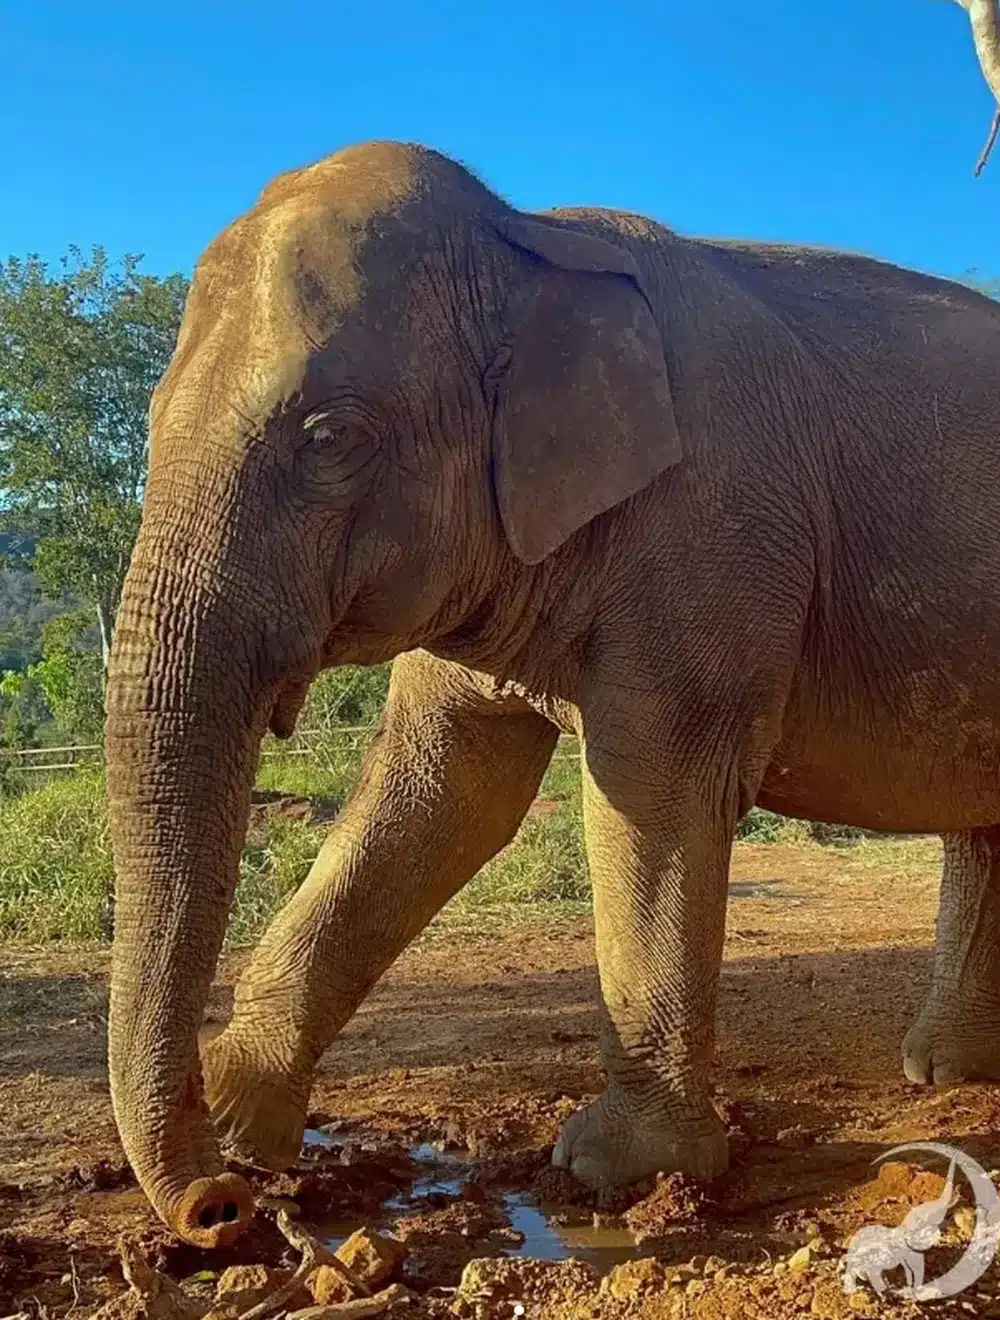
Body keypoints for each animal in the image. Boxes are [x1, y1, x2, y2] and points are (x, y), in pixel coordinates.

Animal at [103, 141, 1000, 1246]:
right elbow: (439, 794)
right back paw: (940, 1072)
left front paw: (615, 1171)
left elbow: (654, 792)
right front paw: (241, 1118)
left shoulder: (715, 531)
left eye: (330, 436)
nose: (217, 1211)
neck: (530, 241)